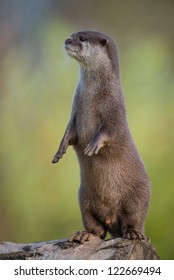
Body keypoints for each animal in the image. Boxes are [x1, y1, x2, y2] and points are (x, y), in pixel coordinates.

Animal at [52, 30, 151, 243]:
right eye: (72, 34)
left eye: (82, 38)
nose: (67, 40)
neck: (92, 96)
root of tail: (111, 219)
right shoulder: (74, 111)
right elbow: (69, 133)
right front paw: (59, 151)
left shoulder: (115, 110)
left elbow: (110, 131)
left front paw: (92, 146)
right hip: (83, 198)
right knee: (97, 228)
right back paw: (84, 234)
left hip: (139, 196)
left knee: (134, 217)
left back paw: (133, 233)